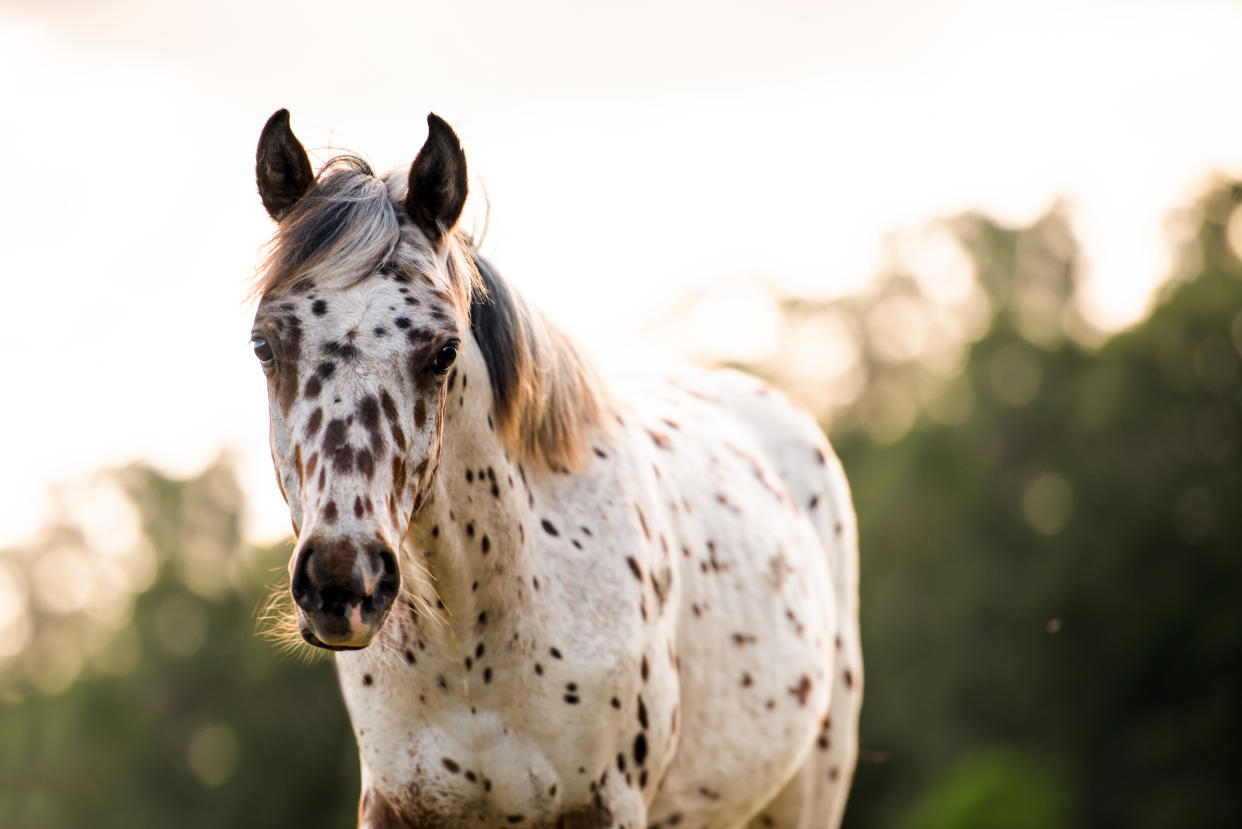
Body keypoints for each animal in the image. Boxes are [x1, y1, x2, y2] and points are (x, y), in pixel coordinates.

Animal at [247, 111, 859, 829]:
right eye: (264, 345)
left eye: (444, 350)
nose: (344, 583)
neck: (471, 650)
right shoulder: (393, 806)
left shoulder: (608, 804)